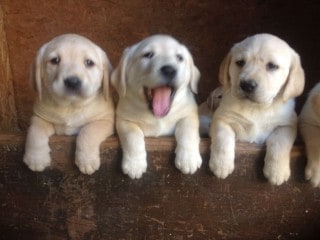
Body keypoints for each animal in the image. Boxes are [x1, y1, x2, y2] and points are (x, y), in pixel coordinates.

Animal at [23, 33, 115, 174]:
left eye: (89, 62)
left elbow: (88, 131)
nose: (72, 82)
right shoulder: (39, 117)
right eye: (55, 60)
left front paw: (87, 160)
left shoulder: (105, 120)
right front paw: (36, 158)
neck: (71, 106)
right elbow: (35, 132)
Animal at [111, 34, 201, 179]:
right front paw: (134, 164)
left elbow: (188, 130)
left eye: (180, 57)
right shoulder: (124, 120)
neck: (157, 116)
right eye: (148, 55)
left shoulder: (189, 113)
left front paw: (188, 159)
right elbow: (132, 136)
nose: (169, 70)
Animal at [210, 33, 304, 184]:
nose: (247, 85)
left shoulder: (287, 125)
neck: (256, 108)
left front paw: (276, 171)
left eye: (272, 66)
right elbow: (222, 138)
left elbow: (280, 142)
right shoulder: (222, 118)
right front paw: (221, 164)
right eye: (240, 62)